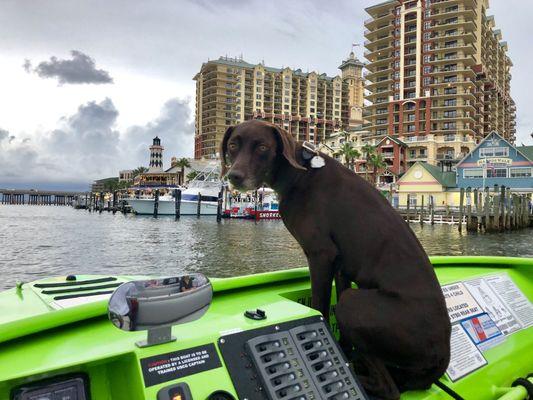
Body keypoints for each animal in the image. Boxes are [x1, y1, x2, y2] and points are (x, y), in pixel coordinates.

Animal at [220, 120, 448, 398]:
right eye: (233, 145)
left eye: (263, 147)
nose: (234, 176)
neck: (300, 173)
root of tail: (443, 356)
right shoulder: (341, 266)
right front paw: (342, 350)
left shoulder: (321, 255)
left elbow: (319, 306)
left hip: (355, 306)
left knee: (389, 388)